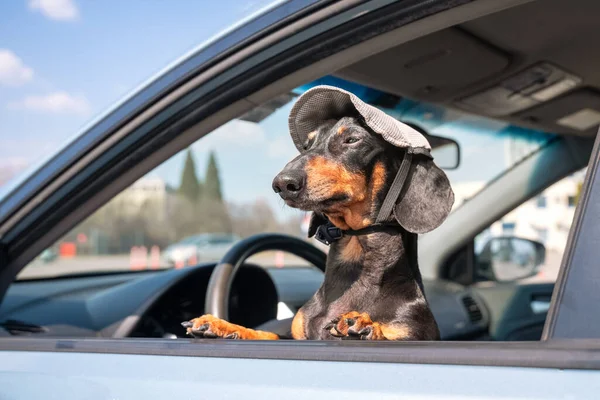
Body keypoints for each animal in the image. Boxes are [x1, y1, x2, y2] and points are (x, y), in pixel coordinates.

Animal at [183, 84, 454, 340]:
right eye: (306, 145)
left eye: (352, 140)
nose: (282, 184)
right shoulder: (295, 335)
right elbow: (267, 333)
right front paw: (221, 325)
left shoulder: (413, 333)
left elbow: (387, 333)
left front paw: (366, 326)